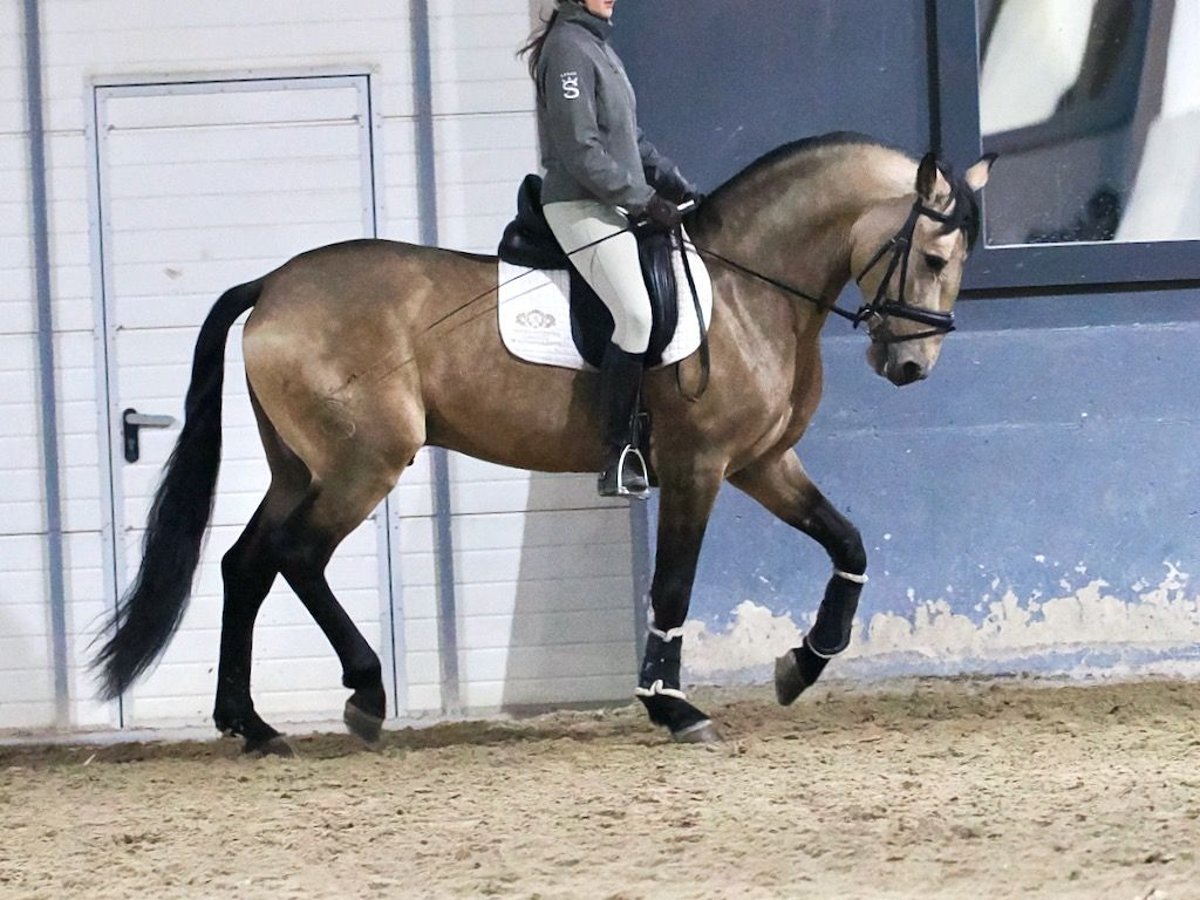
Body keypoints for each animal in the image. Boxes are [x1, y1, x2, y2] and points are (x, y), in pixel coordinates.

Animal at [91, 132, 993, 753]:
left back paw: (251, 725)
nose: (910, 365)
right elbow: (672, 588)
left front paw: (802, 664)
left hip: (298, 466)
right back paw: (365, 697)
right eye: (934, 255)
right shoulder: (698, 469)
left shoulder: (765, 464)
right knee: (297, 557)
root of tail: (273, 286)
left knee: (246, 565)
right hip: (362, 463)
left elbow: (849, 542)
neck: (747, 288)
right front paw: (673, 706)